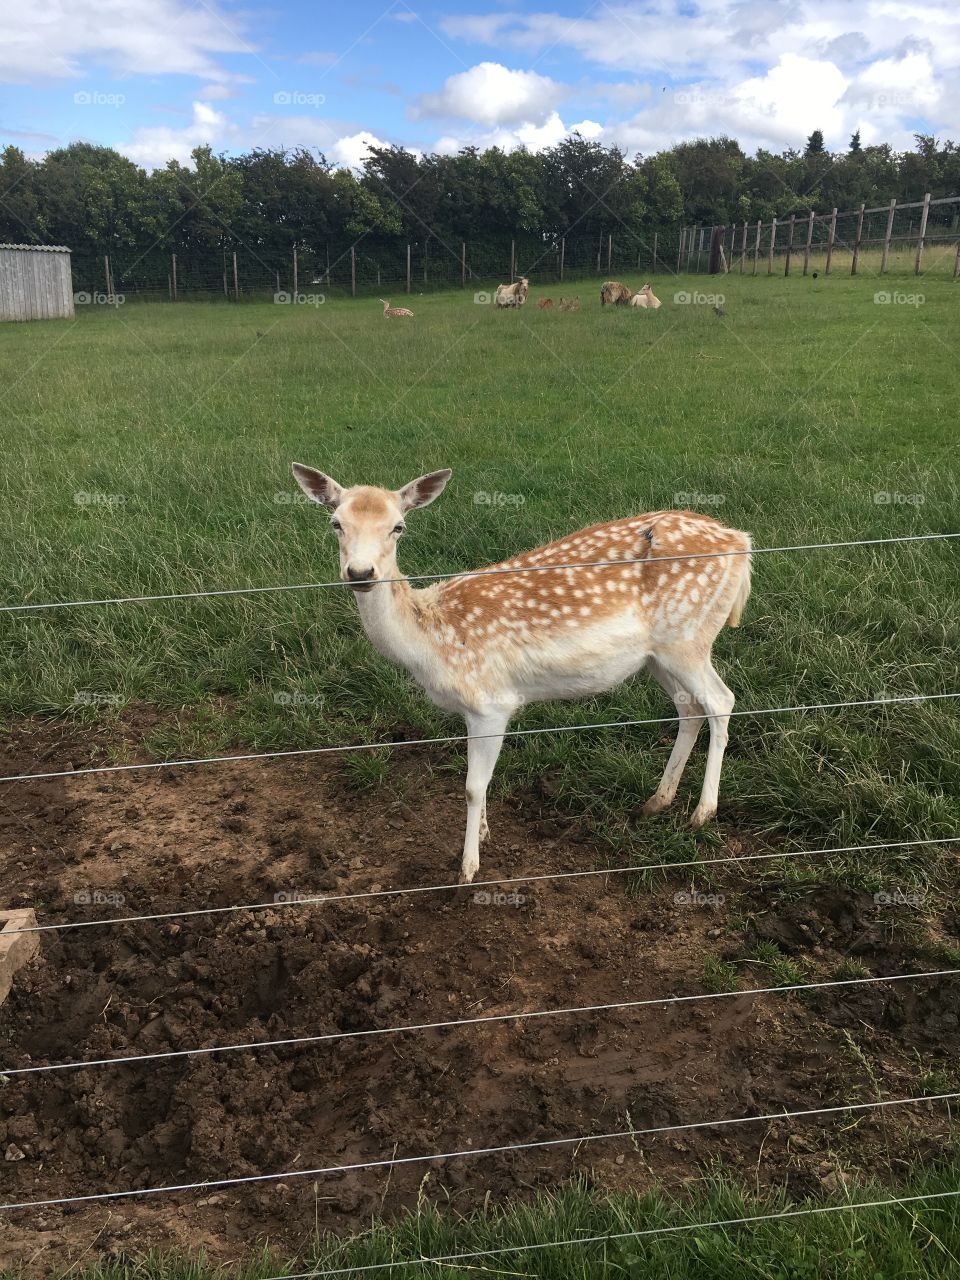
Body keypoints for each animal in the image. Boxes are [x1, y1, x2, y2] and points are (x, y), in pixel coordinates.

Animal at [290, 465, 752, 883]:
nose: (360, 573)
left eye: (398, 527)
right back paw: (656, 802)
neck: (432, 643)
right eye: (335, 522)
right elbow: (481, 781)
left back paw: (702, 812)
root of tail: (743, 544)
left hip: (687, 638)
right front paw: (483, 834)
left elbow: (473, 786)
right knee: (689, 708)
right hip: (660, 655)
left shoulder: (491, 702)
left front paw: (467, 869)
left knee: (721, 700)